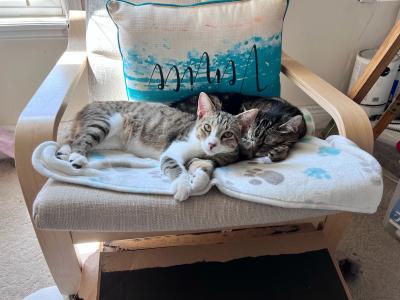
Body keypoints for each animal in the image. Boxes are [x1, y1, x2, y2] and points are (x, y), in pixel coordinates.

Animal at [56, 93, 258, 202]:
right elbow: (176, 166)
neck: (201, 149)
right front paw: (183, 186)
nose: (211, 143)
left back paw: (64, 151)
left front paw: (198, 180)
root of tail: (89, 105)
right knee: (81, 139)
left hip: (110, 139)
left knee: (72, 138)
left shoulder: (215, 159)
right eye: (207, 127)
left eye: (227, 135)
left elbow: (203, 168)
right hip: (105, 122)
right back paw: (77, 156)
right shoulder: (173, 149)